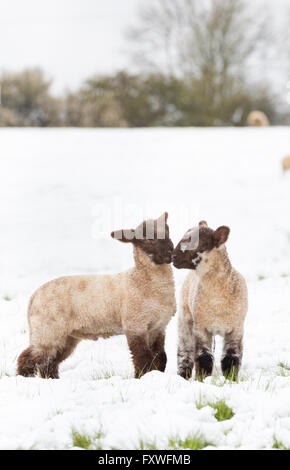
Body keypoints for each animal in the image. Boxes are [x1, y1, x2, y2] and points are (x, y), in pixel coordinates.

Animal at [18, 213, 177, 378]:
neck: (143, 282)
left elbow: (161, 357)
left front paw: (156, 375)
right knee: (29, 358)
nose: (170, 252)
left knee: (49, 363)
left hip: (65, 336)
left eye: (168, 232)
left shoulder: (158, 327)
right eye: (148, 239)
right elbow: (143, 358)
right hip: (47, 330)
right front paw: (142, 377)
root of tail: (33, 297)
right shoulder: (135, 324)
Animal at [173, 221, 248, 382]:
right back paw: (182, 376)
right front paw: (202, 380)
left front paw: (231, 380)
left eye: (198, 244)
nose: (173, 256)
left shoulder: (236, 328)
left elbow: (231, 357)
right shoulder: (201, 328)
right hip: (185, 319)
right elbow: (204, 357)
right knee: (185, 352)